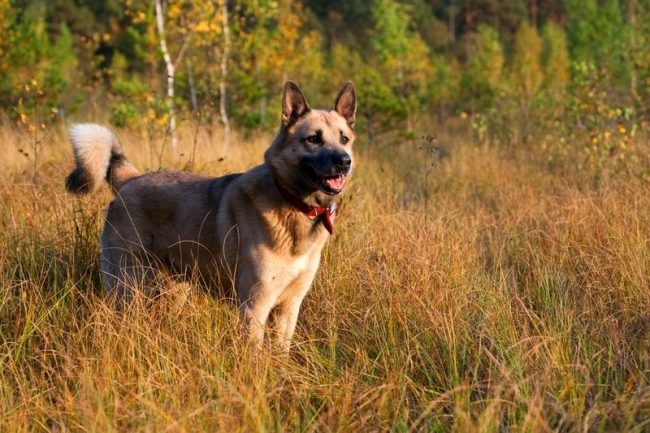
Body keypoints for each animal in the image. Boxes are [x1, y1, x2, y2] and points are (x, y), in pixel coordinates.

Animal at [64, 81, 356, 352]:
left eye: (344, 139)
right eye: (313, 139)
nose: (344, 161)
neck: (291, 201)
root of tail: (130, 179)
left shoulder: (288, 309)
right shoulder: (255, 307)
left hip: (174, 287)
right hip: (127, 287)